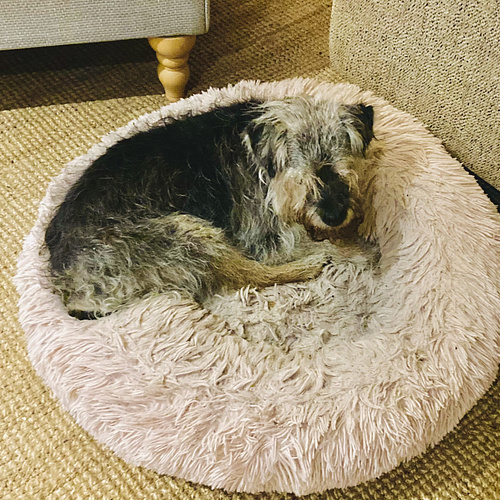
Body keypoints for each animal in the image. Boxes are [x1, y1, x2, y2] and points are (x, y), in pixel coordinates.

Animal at [45, 96, 374, 318]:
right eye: (301, 181)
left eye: (345, 173)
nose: (335, 216)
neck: (260, 164)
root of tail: (71, 285)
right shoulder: (268, 238)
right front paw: (350, 250)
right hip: (185, 231)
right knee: (248, 274)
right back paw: (311, 264)